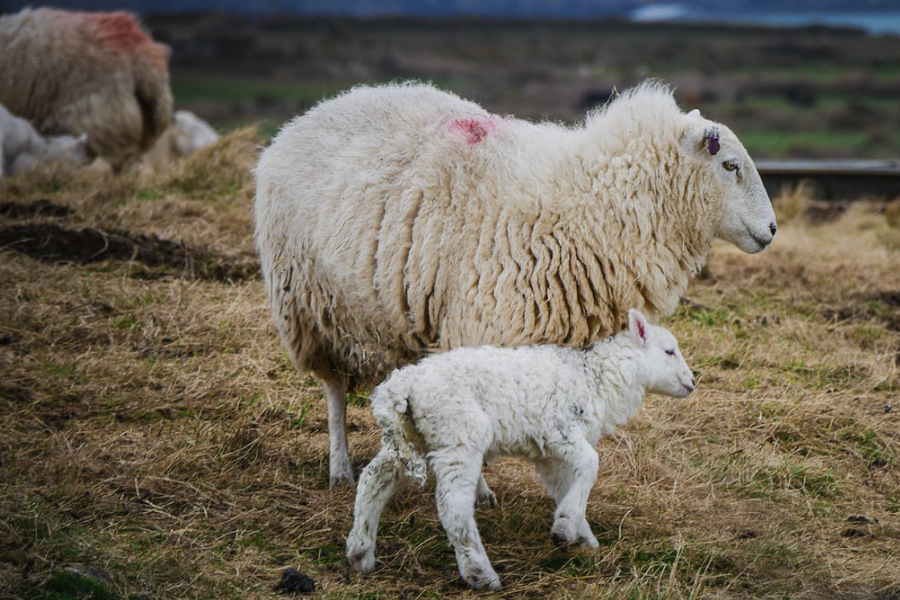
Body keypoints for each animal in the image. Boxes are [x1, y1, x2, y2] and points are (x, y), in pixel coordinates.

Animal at [346, 310, 696, 592]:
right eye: (669, 351)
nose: (692, 382)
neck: (595, 378)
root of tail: (401, 384)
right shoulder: (559, 430)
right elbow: (591, 464)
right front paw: (566, 526)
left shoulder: (549, 453)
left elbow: (565, 486)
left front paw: (579, 534)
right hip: (459, 432)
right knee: (453, 505)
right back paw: (480, 574)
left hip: (409, 434)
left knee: (375, 478)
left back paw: (360, 550)